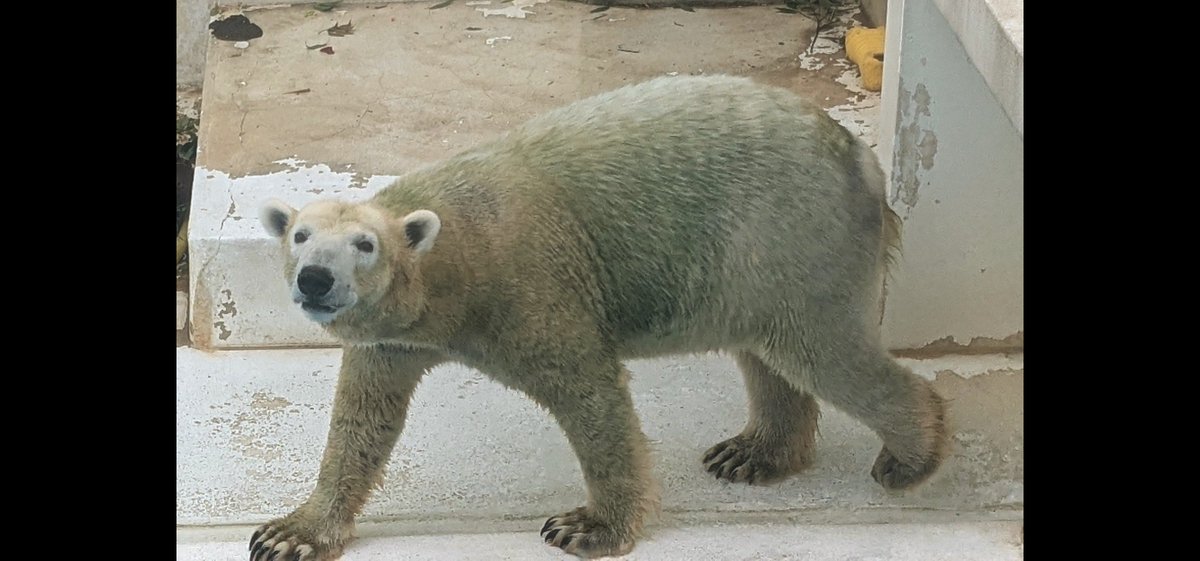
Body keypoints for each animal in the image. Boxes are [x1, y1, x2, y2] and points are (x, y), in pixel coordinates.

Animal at [251, 74, 947, 561]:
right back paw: (751, 453)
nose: (316, 279)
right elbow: (363, 421)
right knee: (769, 351)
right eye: (301, 236)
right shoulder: (393, 340)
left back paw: (910, 457)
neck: (459, 262)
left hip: (791, 231)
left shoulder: (529, 286)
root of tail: (860, 155)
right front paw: (288, 533)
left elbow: (590, 394)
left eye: (364, 245)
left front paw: (585, 526)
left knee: (820, 351)